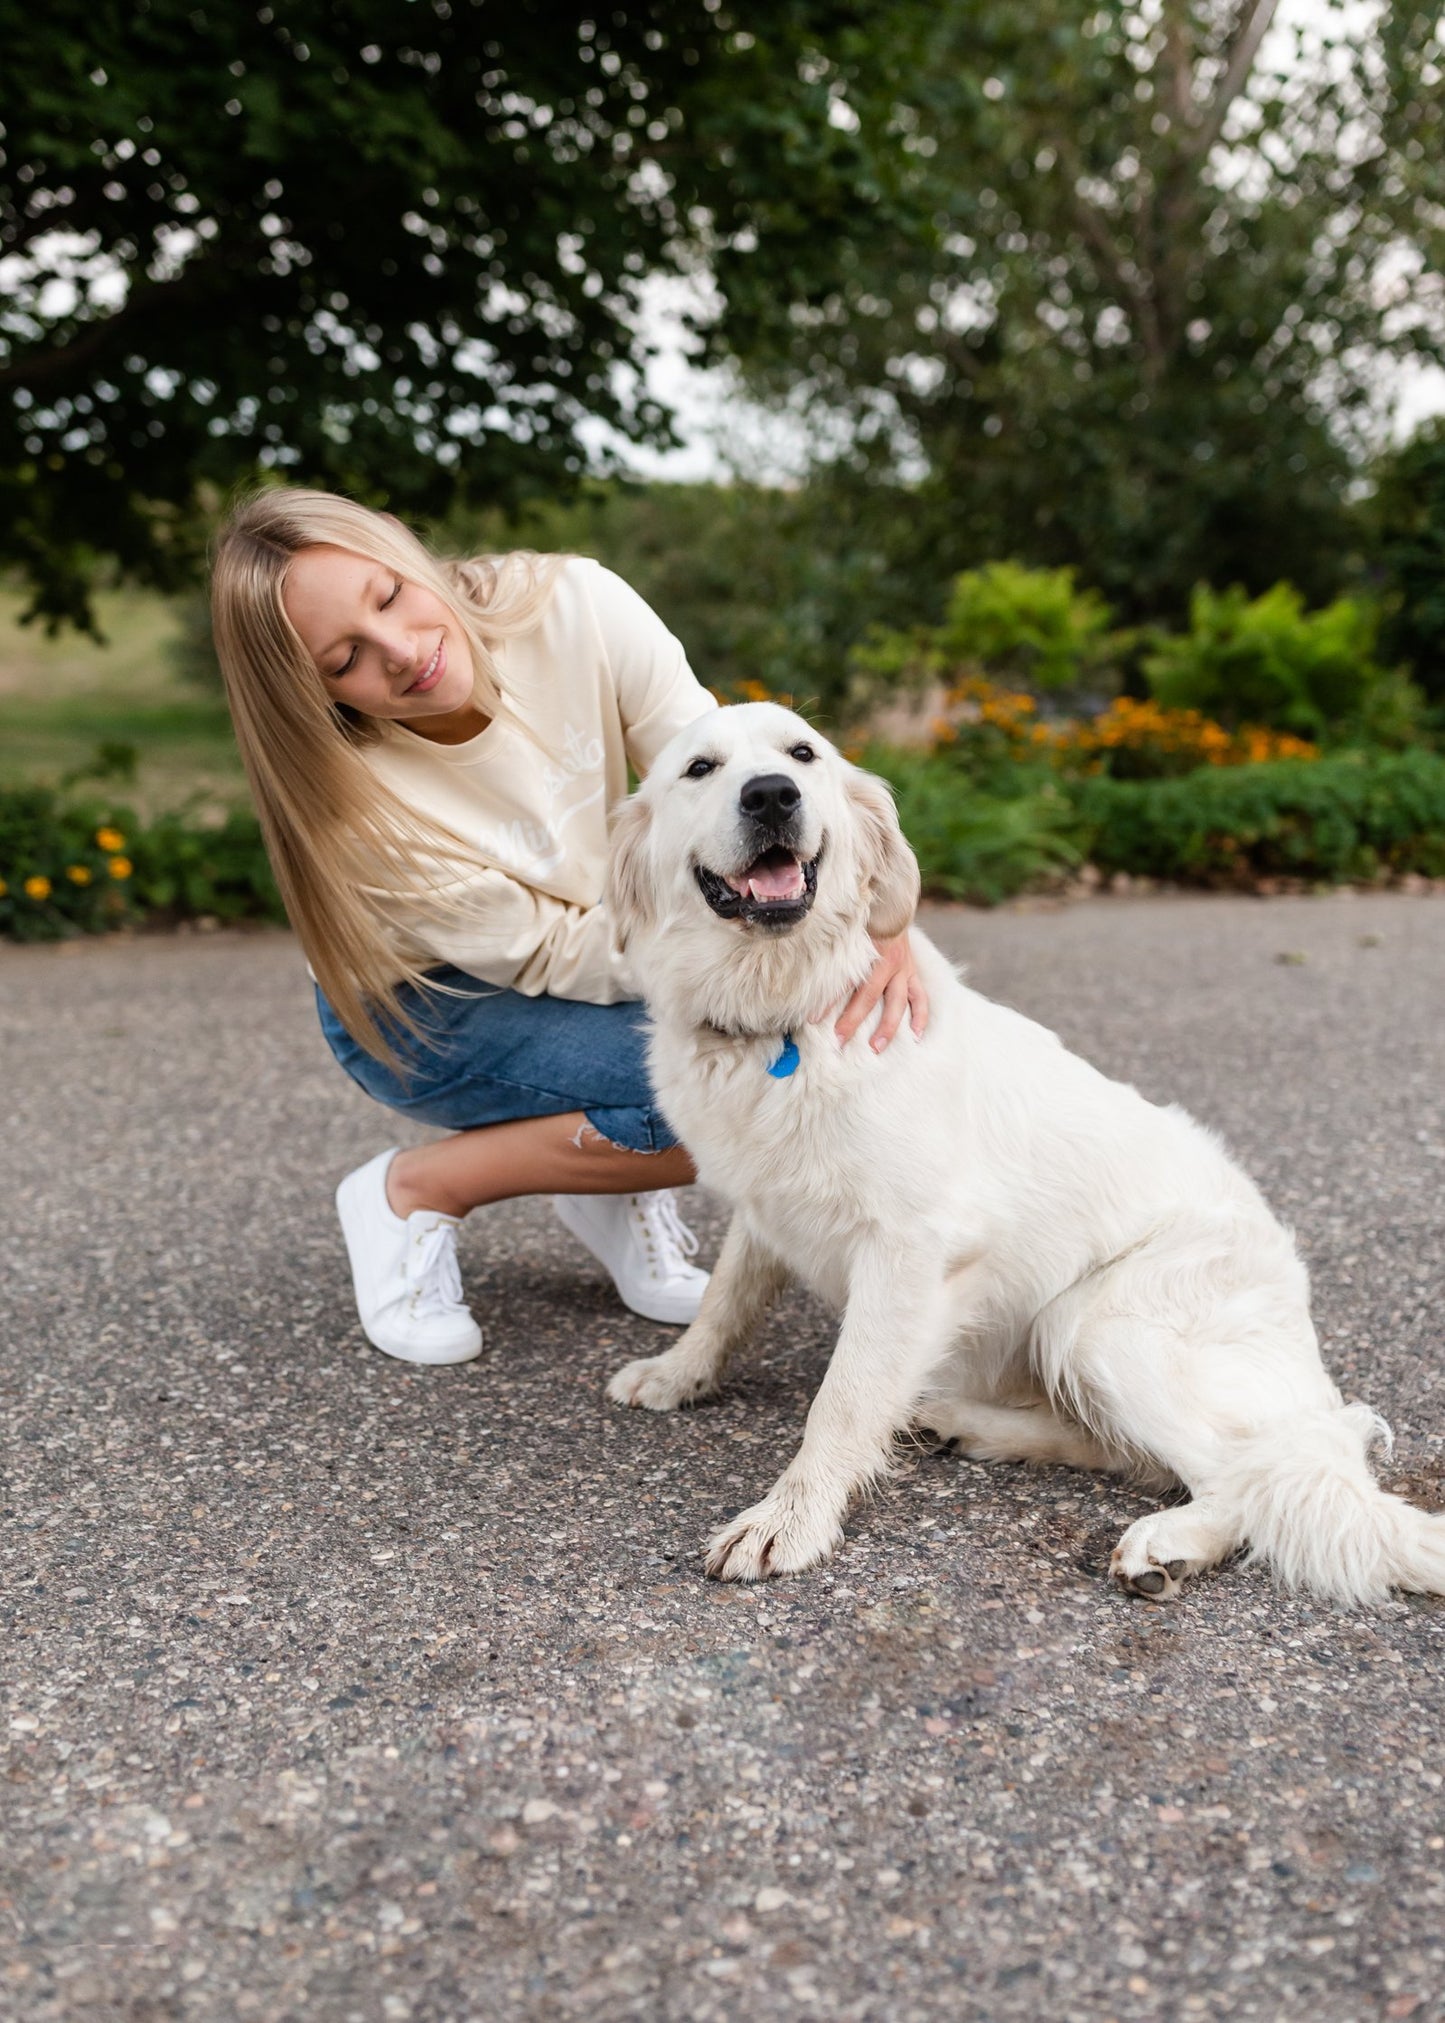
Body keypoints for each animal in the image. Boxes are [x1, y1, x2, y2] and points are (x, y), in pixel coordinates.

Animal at [603, 704, 1440, 1602]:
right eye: (699, 768)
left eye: (803, 754)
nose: (770, 795)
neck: (785, 1013)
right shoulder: (766, 1208)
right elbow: (724, 1303)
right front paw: (677, 1373)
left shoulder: (908, 1248)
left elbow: (843, 1396)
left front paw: (788, 1520)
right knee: (1138, 1453)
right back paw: (961, 1424)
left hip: (1093, 1320)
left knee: (1255, 1477)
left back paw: (1167, 1541)